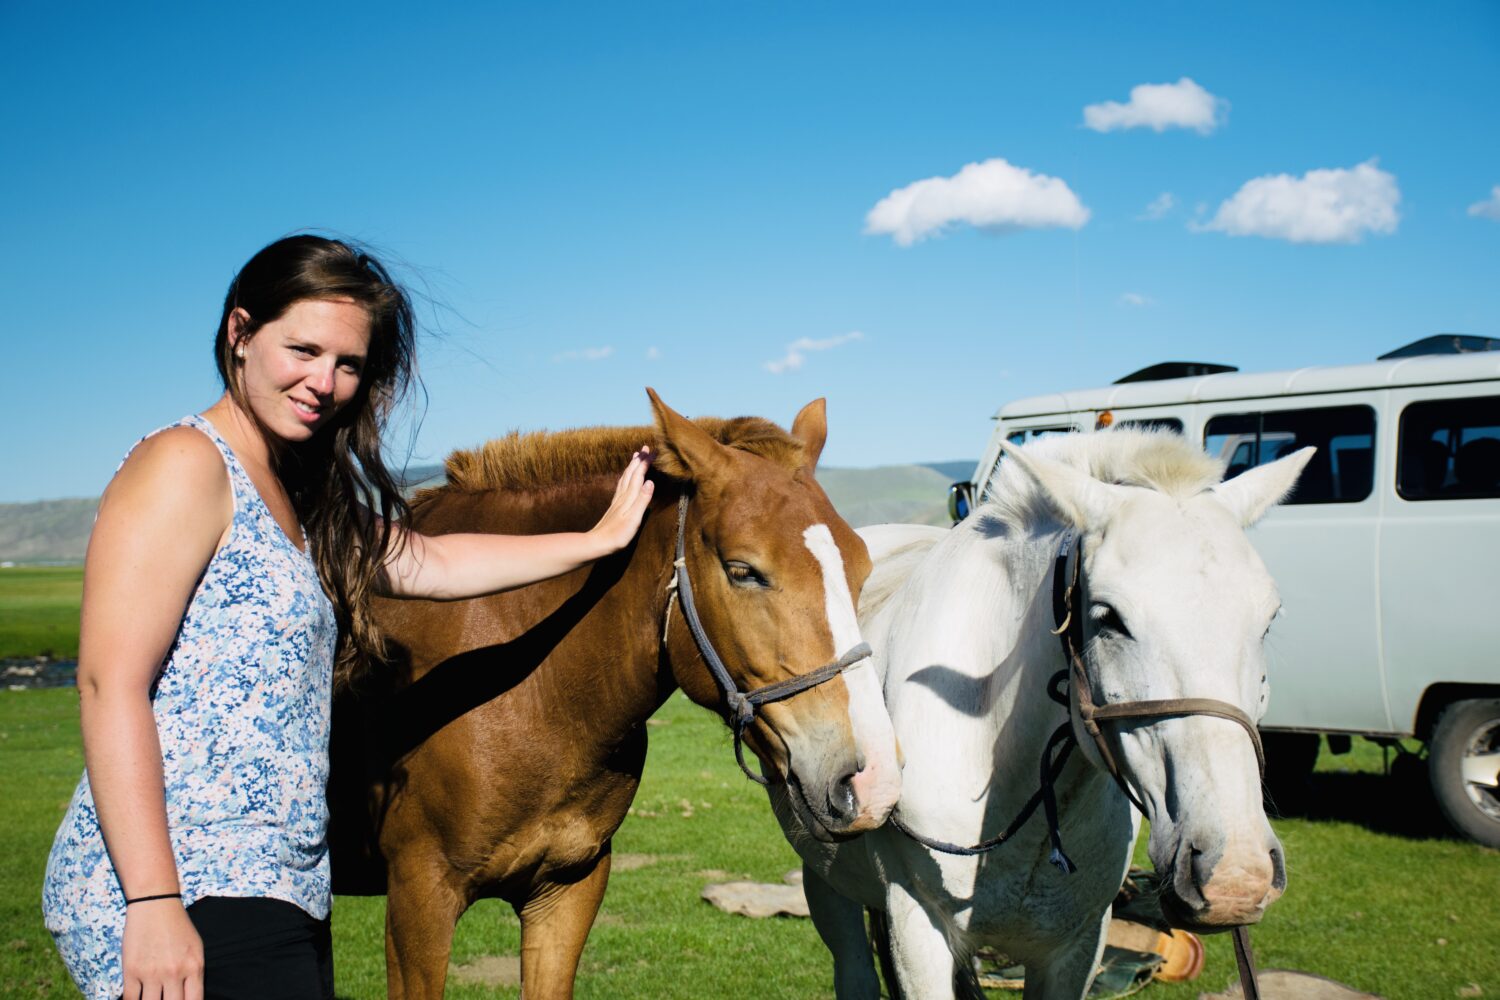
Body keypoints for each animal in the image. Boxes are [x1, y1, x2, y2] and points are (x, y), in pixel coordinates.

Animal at [328, 390, 902, 999]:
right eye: (743, 570)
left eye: (861, 569)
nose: (872, 780)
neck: (536, 693)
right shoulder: (419, 900)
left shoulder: (568, 889)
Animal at [770, 428, 1313, 999]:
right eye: (1107, 617)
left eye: (1269, 620)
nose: (1236, 875)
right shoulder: (917, 930)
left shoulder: (1076, 945)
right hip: (825, 882)